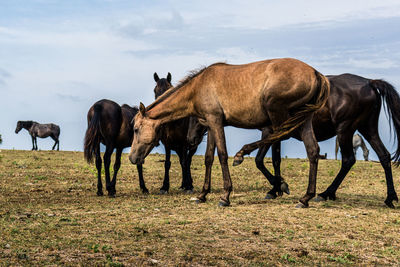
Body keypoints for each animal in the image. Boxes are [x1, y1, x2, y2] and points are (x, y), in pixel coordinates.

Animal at [130, 58, 330, 208]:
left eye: (136, 129)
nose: (132, 158)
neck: (198, 87)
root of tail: (316, 73)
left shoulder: (216, 121)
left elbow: (222, 155)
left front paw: (225, 196)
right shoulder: (210, 124)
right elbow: (208, 158)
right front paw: (202, 194)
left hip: (278, 113)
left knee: (282, 134)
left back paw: (243, 155)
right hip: (304, 119)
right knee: (312, 150)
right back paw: (305, 198)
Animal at [253, 74, 400, 209]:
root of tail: (369, 82)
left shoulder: (268, 131)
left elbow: (260, 160)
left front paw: (278, 187)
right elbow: (276, 160)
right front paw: (276, 189)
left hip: (344, 130)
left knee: (348, 160)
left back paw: (325, 193)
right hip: (368, 129)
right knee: (384, 156)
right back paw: (390, 197)